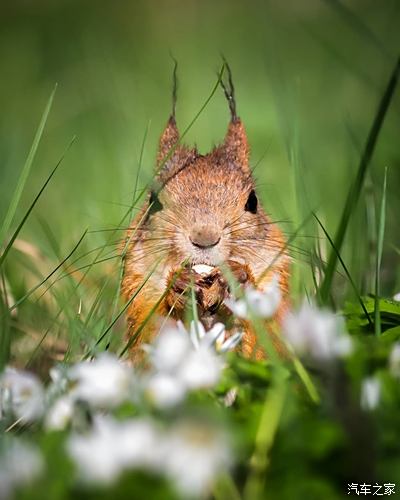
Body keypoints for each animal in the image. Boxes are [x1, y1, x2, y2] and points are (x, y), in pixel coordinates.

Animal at [120, 64, 290, 362]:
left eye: (252, 201)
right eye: (154, 201)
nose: (204, 238)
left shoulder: (276, 277)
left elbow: (265, 337)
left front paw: (239, 277)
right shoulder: (136, 283)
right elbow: (149, 325)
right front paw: (178, 285)